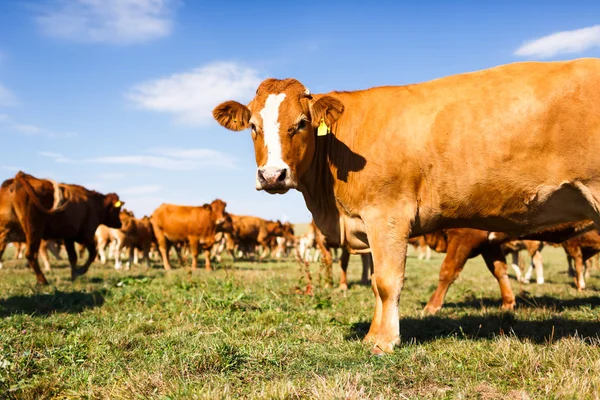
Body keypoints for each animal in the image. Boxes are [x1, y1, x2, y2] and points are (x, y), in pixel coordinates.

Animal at [212, 58, 600, 354]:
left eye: (302, 124)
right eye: (252, 126)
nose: (272, 175)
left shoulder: (387, 215)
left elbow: (386, 281)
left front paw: (383, 341)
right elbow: (375, 282)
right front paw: (373, 334)